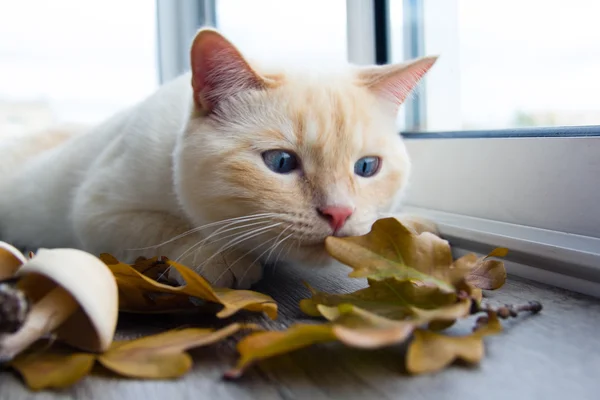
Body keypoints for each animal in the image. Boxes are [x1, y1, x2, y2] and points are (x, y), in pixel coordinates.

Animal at [0, 29, 438, 290]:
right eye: (281, 163)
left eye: (366, 168)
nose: (339, 213)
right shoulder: (98, 213)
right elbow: (170, 229)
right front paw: (221, 258)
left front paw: (407, 228)